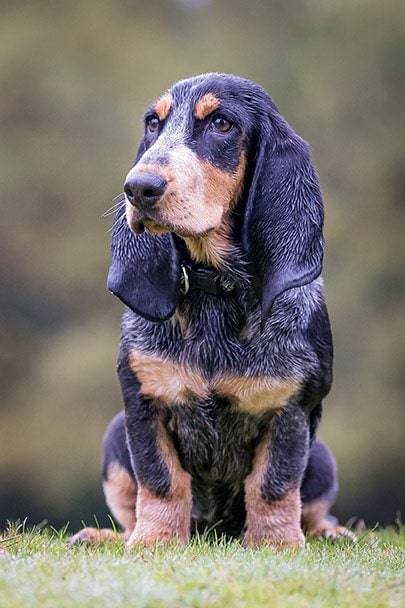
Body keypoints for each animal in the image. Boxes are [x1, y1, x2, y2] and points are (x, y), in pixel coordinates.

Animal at [72, 73, 350, 548]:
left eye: (221, 123)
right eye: (153, 123)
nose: (139, 187)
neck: (218, 292)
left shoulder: (292, 407)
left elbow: (274, 486)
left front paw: (277, 546)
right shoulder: (143, 400)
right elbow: (161, 479)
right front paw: (154, 543)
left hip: (325, 459)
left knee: (312, 508)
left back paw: (331, 532)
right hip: (114, 438)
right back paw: (105, 536)